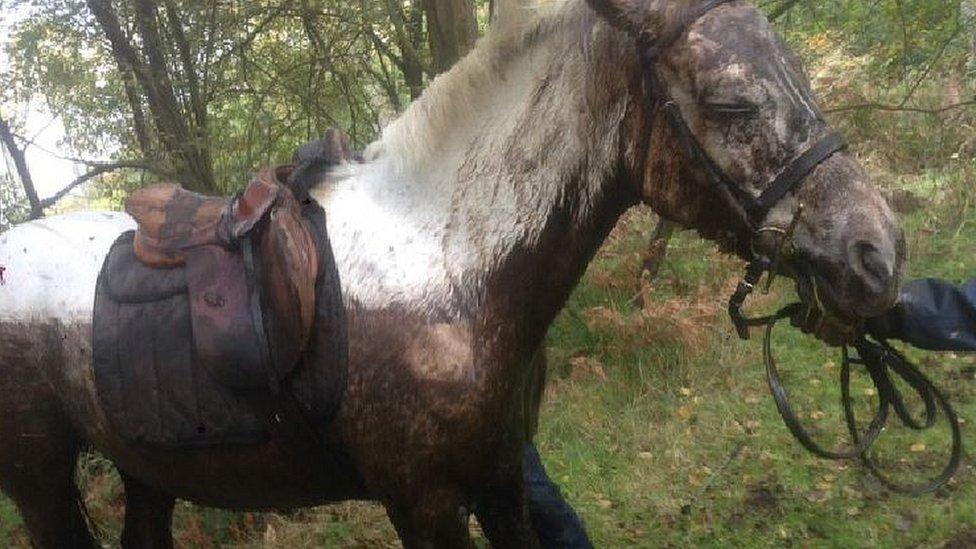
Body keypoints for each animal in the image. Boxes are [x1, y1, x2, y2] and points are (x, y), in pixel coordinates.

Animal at [0, 2, 904, 544]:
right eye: (728, 103)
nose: (879, 252)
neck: (448, 265)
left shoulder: (502, 477)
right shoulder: (424, 500)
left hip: (143, 470)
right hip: (42, 479)